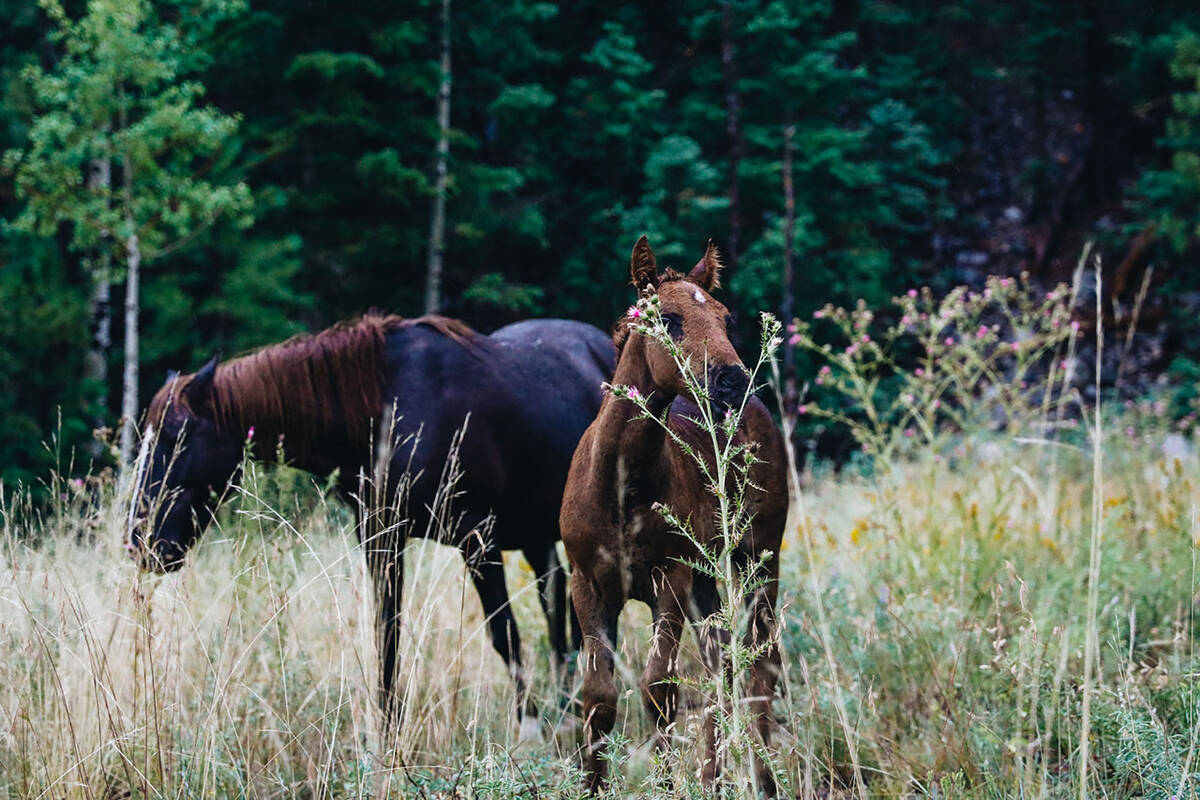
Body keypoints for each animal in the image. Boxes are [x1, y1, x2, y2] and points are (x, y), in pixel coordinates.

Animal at [130, 311, 614, 734]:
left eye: (176, 436)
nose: (142, 542)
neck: (387, 411)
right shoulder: (381, 536)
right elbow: (387, 636)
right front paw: (387, 734)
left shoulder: (477, 536)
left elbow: (505, 634)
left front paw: (527, 728)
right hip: (536, 534)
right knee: (557, 606)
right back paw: (567, 705)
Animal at [559, 237, 787, 796]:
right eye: (668, 318)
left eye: (726, 319)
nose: (732, 381)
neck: (621, 488)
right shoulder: (586, 582)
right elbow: (598, 695)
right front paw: (592, 784)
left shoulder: (671, 576)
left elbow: (659, 687)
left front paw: (665, 782)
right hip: (708, 583)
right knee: (722, 664)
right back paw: (715, 776)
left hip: (759, 559)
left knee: (760, 662)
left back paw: (760, 777)